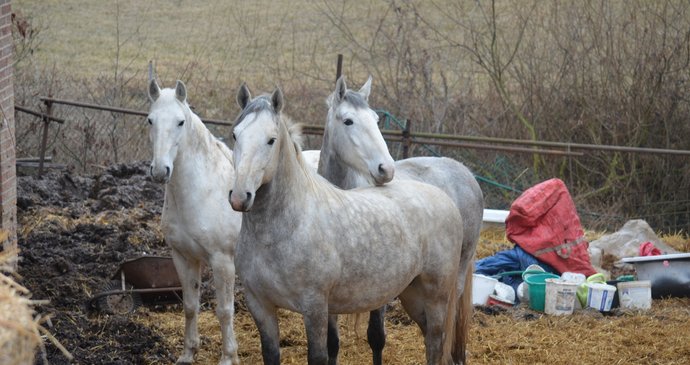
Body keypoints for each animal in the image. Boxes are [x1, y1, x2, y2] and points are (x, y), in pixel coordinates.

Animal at [146, 79, 241, 364]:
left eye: (180, 122)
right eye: (150, 120)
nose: (160, 171)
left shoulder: (223, 262)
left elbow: (224, 310)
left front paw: (228, 357)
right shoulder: (184, 257)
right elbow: (189, 305)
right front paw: (188, 353)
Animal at [230, 84, 462, 364]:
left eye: (271, 140)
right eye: (235, 135)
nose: (240, 196)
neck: (283, 229)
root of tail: (445, 198)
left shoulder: (315, 307)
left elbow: (319, 356)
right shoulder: (260, 305)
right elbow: (271, 354)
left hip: (437, 295)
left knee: (436, 342)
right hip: (412, 294)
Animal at [314, 75, 482, 362]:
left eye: (375, 119)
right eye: (348, 121)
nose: (386, 169)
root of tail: (464, 172)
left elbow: (376, 337)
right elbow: (332, 343)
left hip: (452, 279)